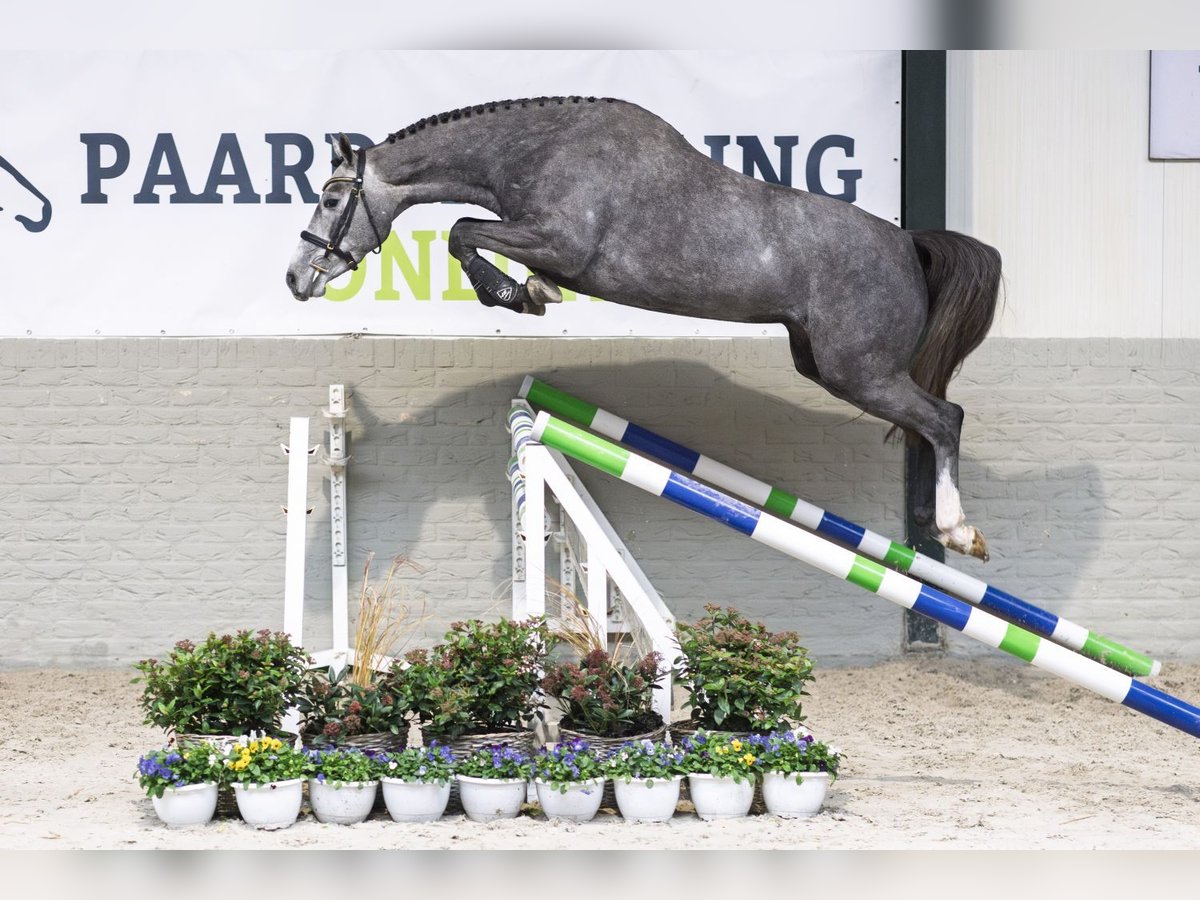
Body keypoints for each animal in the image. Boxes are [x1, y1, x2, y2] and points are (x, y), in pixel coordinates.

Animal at [288, 100, 1003, 564]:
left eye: (330, 199)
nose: (296, 278)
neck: (539, 150)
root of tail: (909, 243)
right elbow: (470, 234)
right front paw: (529, 291)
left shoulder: (560, 241)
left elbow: (463, 231)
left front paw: (516, 295)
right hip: (828, 365)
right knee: (928, 422)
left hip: (859, 371)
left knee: (945, 418)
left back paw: (957, 531)